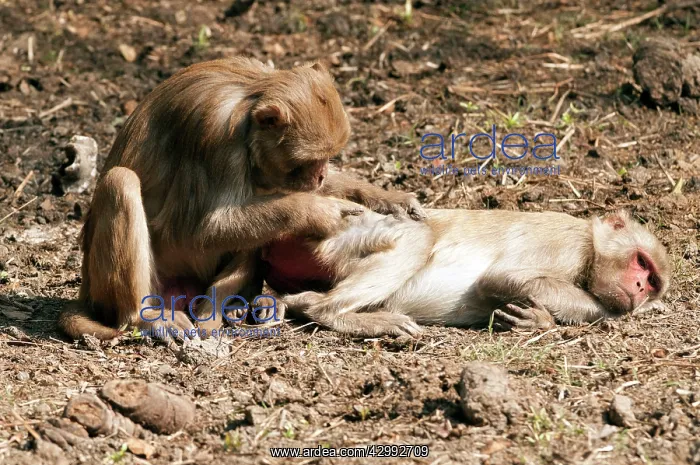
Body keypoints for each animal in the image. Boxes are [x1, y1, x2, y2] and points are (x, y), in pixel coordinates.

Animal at [58, 56, 426, 341]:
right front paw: (322, 213)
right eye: (307, 161)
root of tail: (86, 285)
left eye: (326, 159)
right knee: (121, 182)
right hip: (117, 284)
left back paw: (220, 308)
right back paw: (147, 317)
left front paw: (387, 197)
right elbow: (201, 228)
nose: (320, 176)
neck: (248, 101)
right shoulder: (216, 136)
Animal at [260, 208, 670, 337]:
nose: (639, 287)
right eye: (641, 263)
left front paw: (537, 319)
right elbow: (503, 278)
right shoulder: (569, 245)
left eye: (652, 282)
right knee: (419, 236)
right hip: (344, 237)